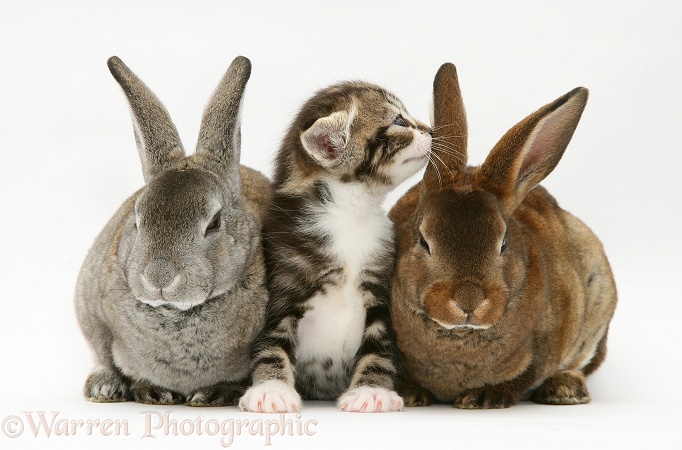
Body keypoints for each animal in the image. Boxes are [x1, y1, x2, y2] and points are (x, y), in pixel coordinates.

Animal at [71, 54, 268, 406]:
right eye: (137, 220)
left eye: (213, 222)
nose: (158, 277)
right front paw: (152, 391)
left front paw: (211, 395)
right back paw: (104, 388)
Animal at [239, 80, 430, 412]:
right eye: (399, 121)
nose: (431, 129)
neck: (349, 213)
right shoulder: (280, 293)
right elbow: (271, 345)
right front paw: (271, 389)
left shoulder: (380, 294)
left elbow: (378, 350)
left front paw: (371, 391)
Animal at [388, 63, 616, 408]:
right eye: (424, 241)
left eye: (503, 243)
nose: (469, 301)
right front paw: (410, 393)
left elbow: (524, 377)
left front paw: (483, 397)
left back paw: (565, 390)